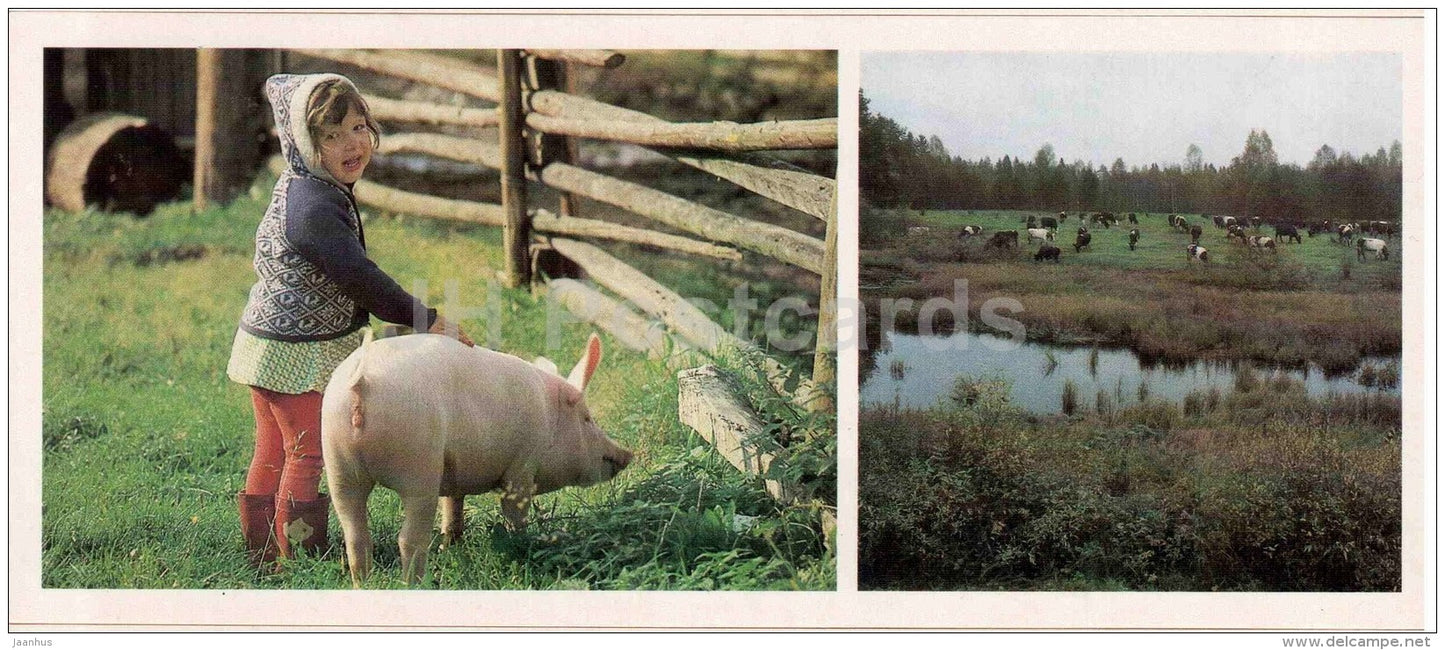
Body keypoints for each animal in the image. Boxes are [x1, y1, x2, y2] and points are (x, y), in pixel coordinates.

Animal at [321, 331, 633, 587]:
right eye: (587, 418)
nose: (627, 454)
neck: (549, 419)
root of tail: (362, 383)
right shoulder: (523, 465)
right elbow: (514, 513)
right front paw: (521, 543)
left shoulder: (454, 473)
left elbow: (453, 508)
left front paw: (451, 546)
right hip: (418, 466)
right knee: (409, 539)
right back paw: (417, 584)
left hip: (339, 465)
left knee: (356, 535)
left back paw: (363, 584)